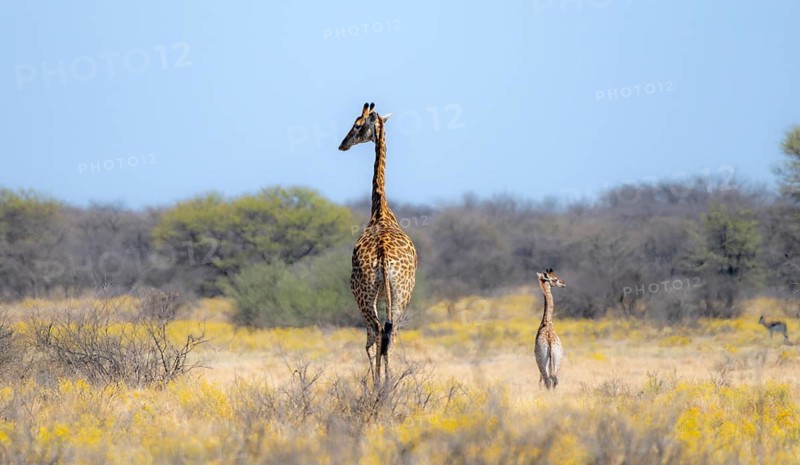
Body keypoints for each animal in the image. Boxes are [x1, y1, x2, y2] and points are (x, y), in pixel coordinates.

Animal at [338, 102, 418, 388]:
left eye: (358, 124)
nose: (343, 144)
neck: (380, 210)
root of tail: (383, 256)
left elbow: (372, 340)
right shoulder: (389, 295)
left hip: (362, 293)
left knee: (375, 334)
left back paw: (378, 387)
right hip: (401, 293)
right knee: (389, 332)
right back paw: (388, 386)